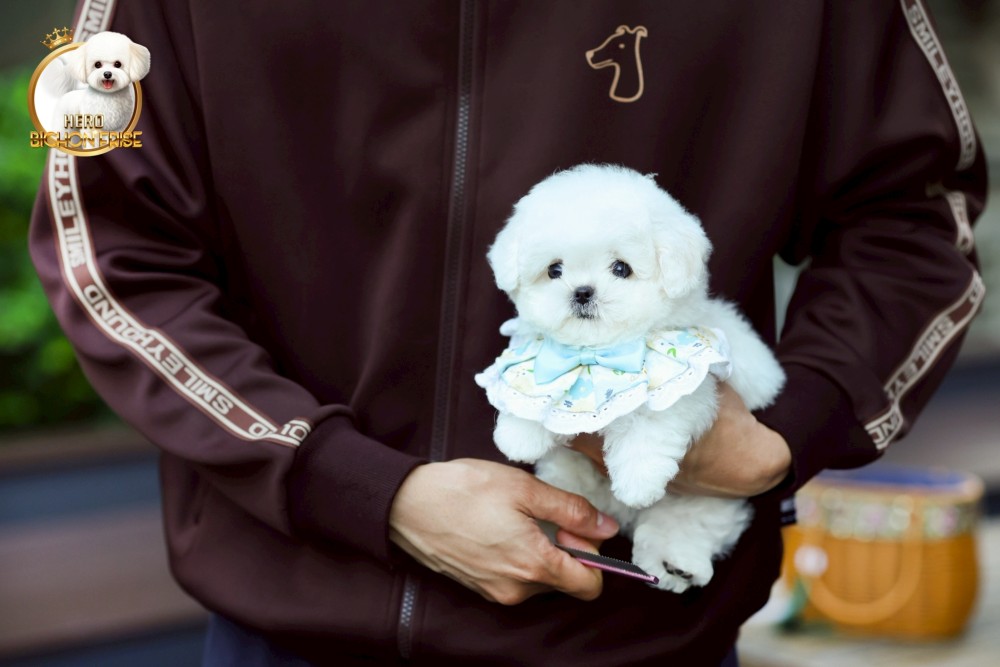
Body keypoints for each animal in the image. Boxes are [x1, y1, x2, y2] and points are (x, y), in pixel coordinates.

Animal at [475, 164, 785, 592]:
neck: (596, 352)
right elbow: (531, 388)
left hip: (712, 496)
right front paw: (519, 436)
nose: (582, 292)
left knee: (696, 522)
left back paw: (676, 562)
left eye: (621, 268)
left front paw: (639, 480)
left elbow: (652, 423)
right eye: (555, 270)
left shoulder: (688, 382)